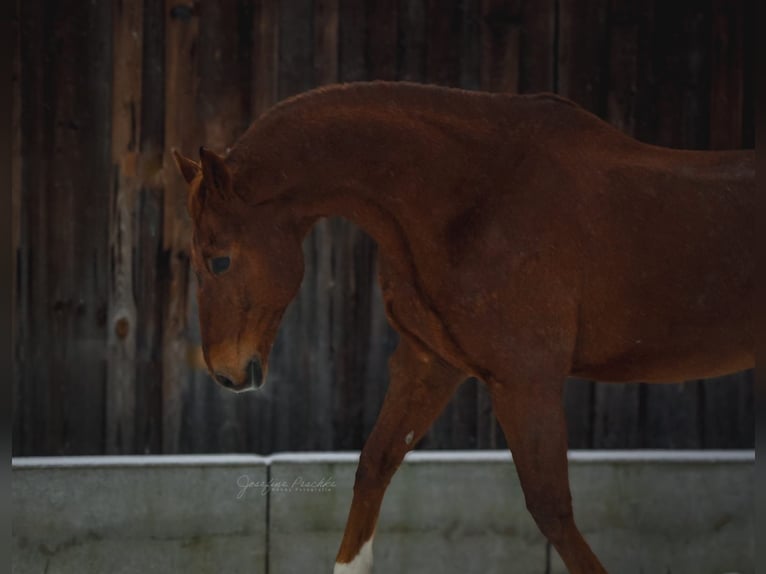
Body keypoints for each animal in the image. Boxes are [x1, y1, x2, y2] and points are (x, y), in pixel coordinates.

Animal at [171, 82, 752, 574]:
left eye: (219, 260)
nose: (226, 374)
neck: (472, 200)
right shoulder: (429, 365)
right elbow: (374, 466)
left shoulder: (526, 383)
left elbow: (551, 509)